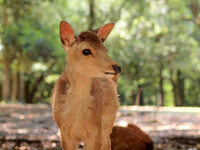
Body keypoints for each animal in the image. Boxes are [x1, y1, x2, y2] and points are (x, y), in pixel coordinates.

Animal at [51, 21, 120, 150]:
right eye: (86, 51)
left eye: (105, 49)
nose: (117, 67)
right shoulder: (63, 132)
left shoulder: (96, 132)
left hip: (108, 124)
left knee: (108, 143)